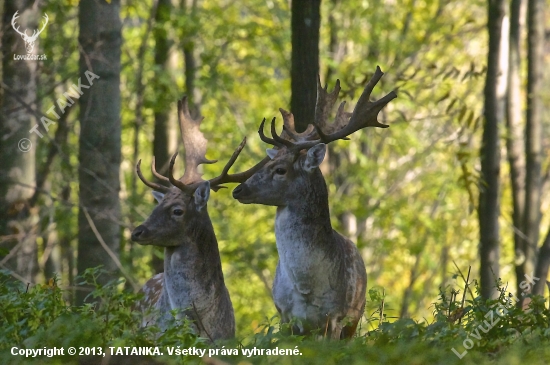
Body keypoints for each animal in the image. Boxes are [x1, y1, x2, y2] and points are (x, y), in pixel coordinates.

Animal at [232, 66, 396, 338]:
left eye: (280, 169)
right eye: (267, 164)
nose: (238, 189)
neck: (306, 283)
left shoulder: (335, 316)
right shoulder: (284, 315)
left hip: (355, 318)